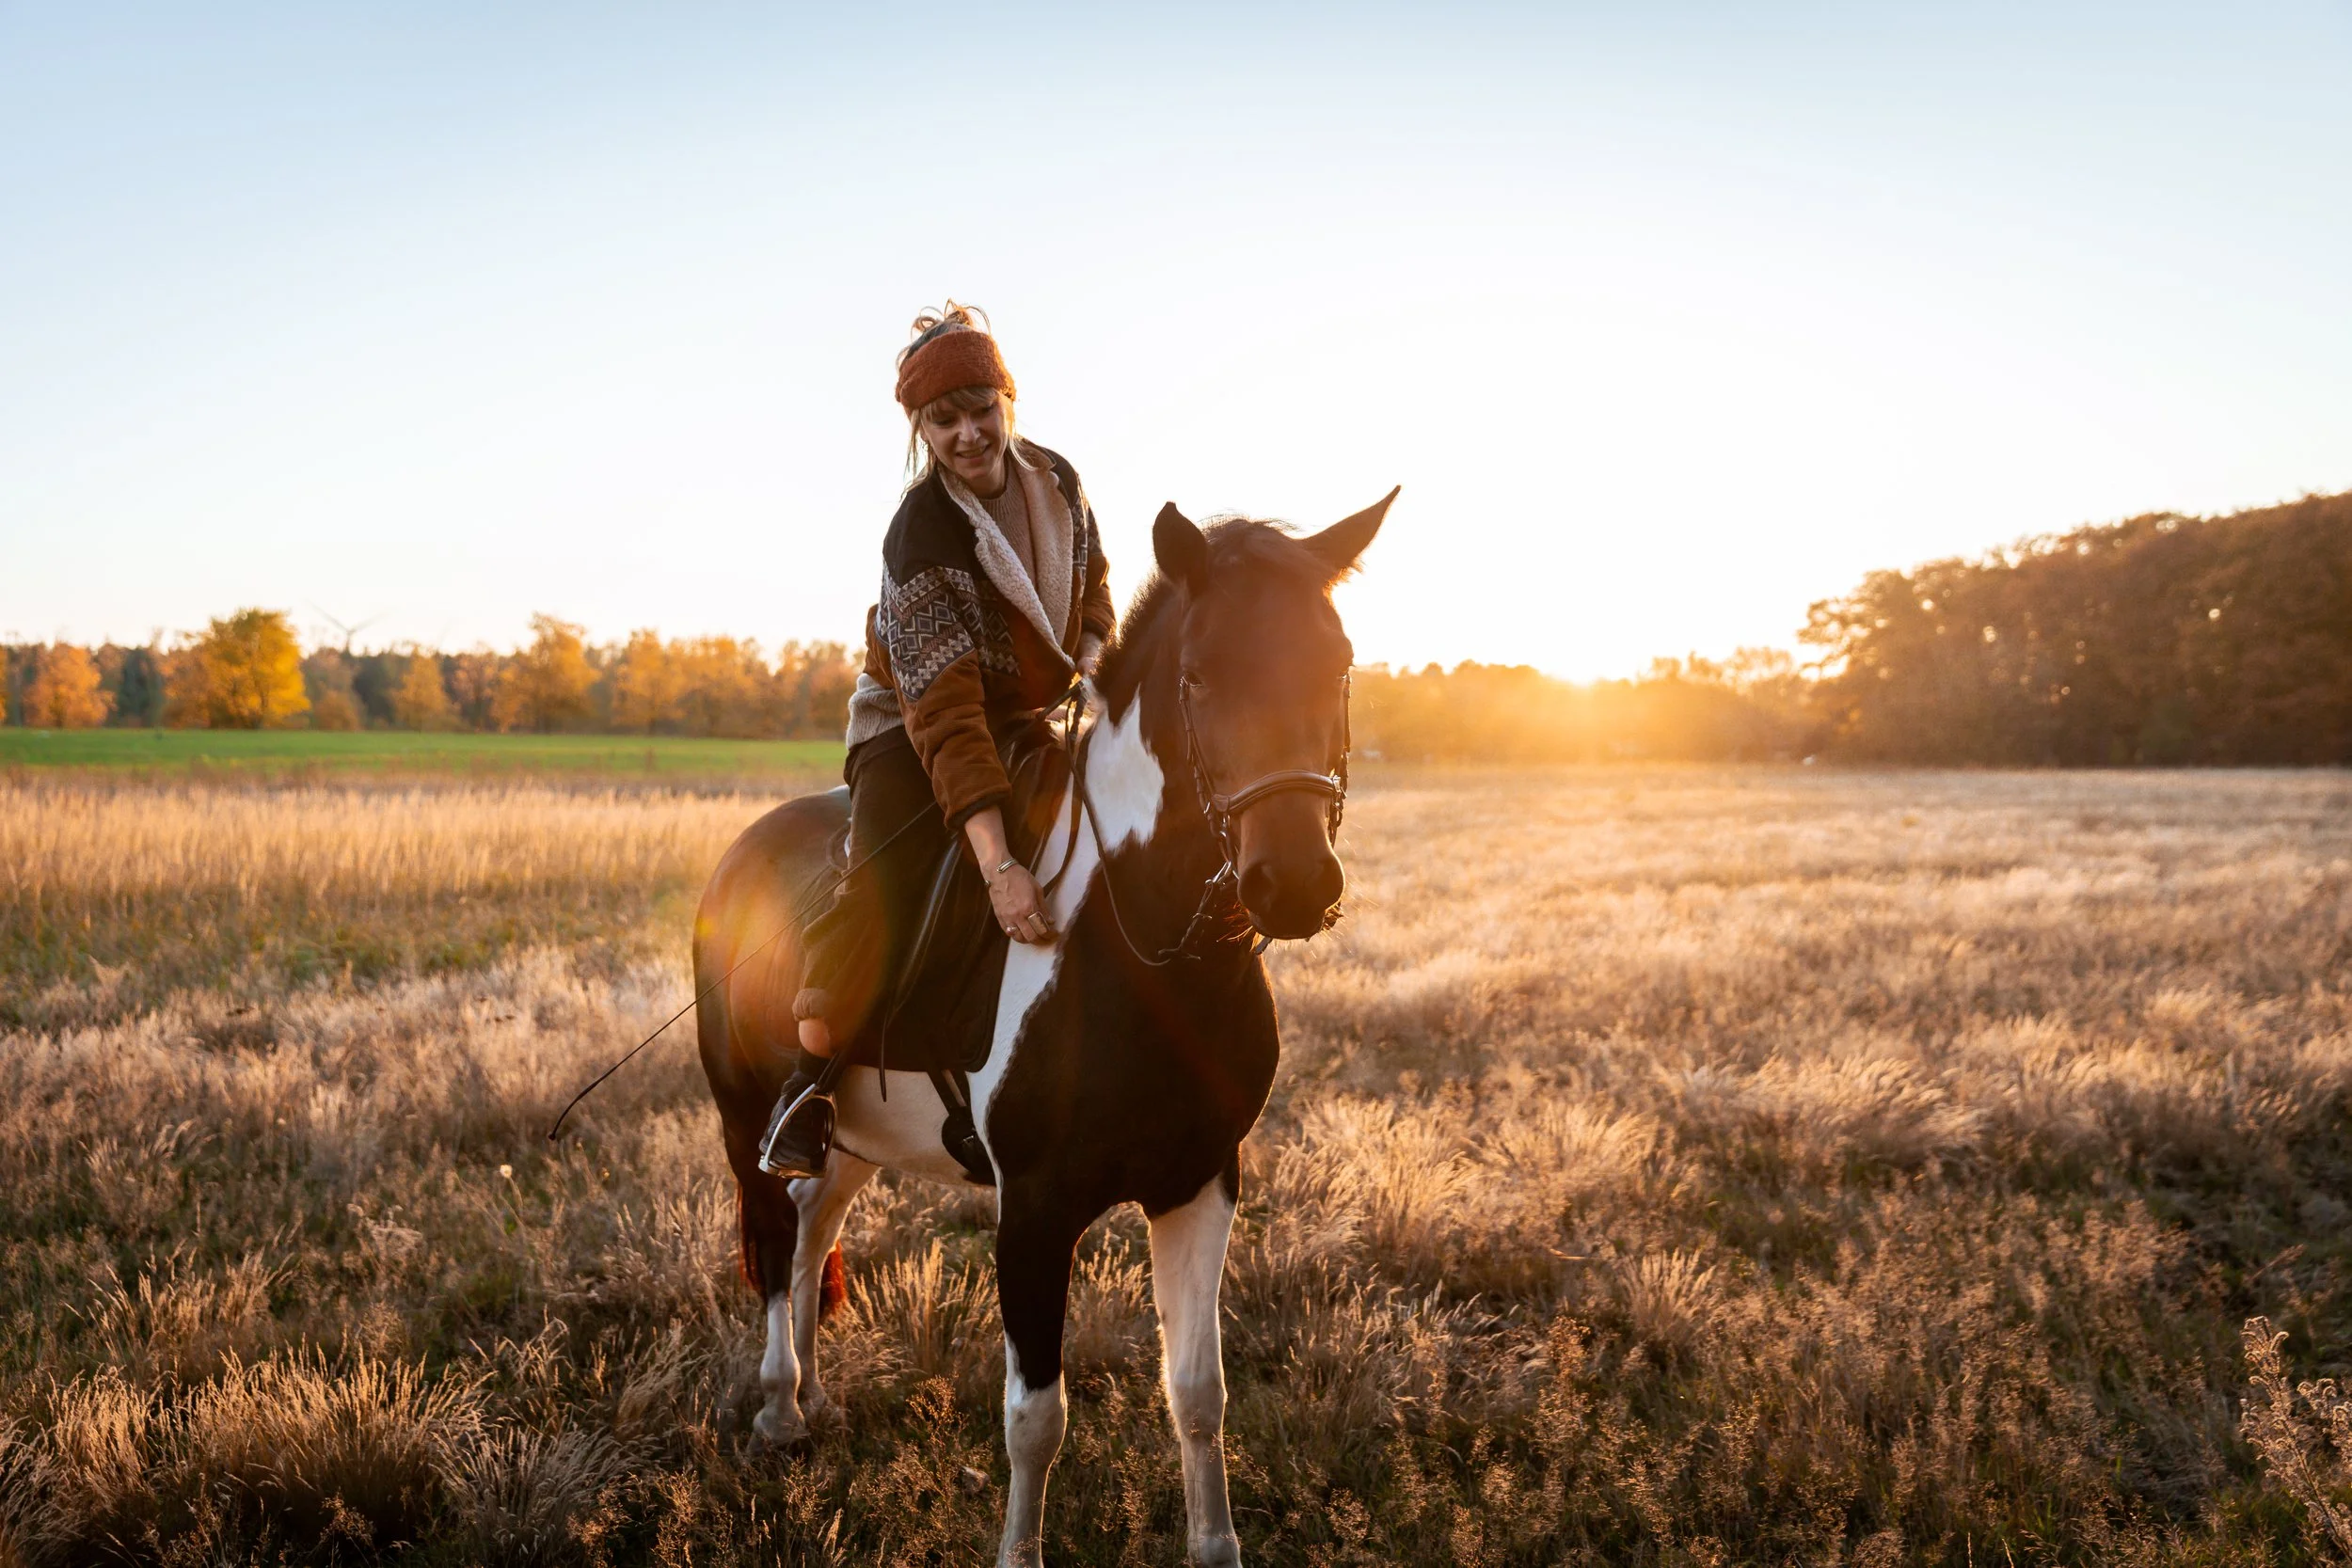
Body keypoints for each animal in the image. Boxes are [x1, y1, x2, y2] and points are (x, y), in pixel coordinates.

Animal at [693, 489, 1392, 1567]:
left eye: (1340, 660)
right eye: (1199, 675)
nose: (1293, 882)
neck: (1140, 946)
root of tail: (739, 856)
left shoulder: (1201, 1182)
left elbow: (1198, 1393)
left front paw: (1215, 1544)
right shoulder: (1033, 1208)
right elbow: (1036, 1418)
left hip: (849, 1135)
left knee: (815, 1226)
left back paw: (810, 1396)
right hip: (741, 1123)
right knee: (775, 1243)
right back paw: (776, 1411)